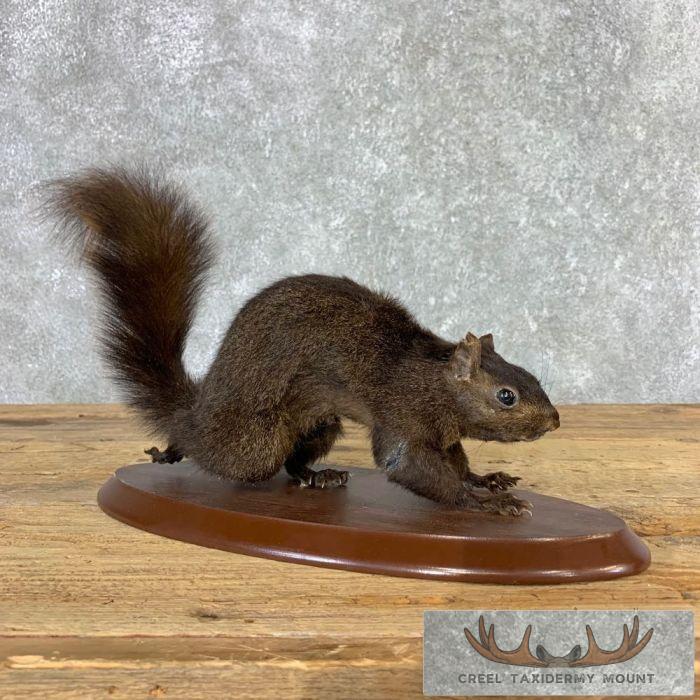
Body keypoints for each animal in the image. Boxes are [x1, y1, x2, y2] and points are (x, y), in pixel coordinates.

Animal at [47, 167, 559, 517]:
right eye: (507, 396)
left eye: (533, 376)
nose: (554, 421)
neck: (435, 381)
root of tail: (199, 410)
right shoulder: (403, 414)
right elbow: (407, 465)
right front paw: (482, 502)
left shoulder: (445, 435)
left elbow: (456, 462)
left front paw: (488, 478)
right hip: (255, 443)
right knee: (223, 455)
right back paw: (173, 448)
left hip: (320, 422)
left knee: (292, 463)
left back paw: (316, 475)